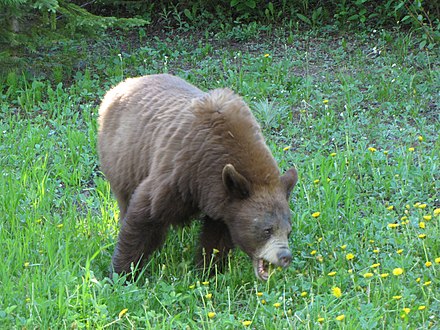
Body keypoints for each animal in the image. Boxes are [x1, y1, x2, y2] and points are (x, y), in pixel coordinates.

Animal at [97, 75, 298, 282]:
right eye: (267, 229)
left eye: (289, 231)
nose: (285, 256)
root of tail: (119, 86)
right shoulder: (180, 172)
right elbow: (145, 214)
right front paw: (122, 273)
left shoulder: (224, 202)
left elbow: (216, 238)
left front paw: (209, 271)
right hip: (122, 159)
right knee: (125, 200)